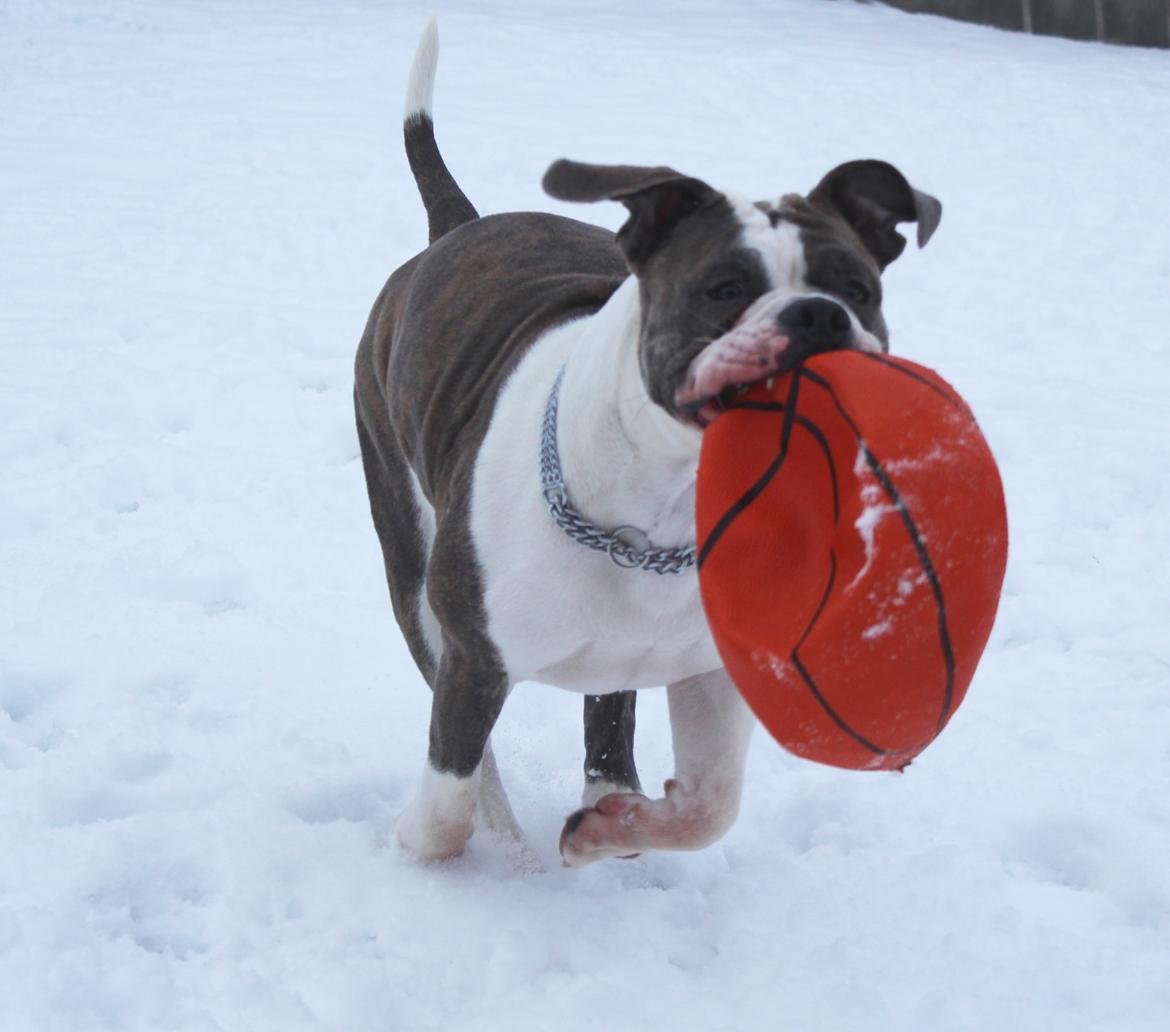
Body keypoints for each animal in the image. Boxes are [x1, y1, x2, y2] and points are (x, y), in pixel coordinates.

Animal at [353, 20, 940, 865]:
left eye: (858, 289)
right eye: (725, 288)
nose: (819, 315)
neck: (665, 506)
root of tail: (459, 227)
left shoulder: (711, 670)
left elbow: (709, 807)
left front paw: (609, 828)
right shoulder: (472, 654)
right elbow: (446, 809)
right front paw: (426, 843)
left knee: (609, 723)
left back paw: (605, 797)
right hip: (407, 551)